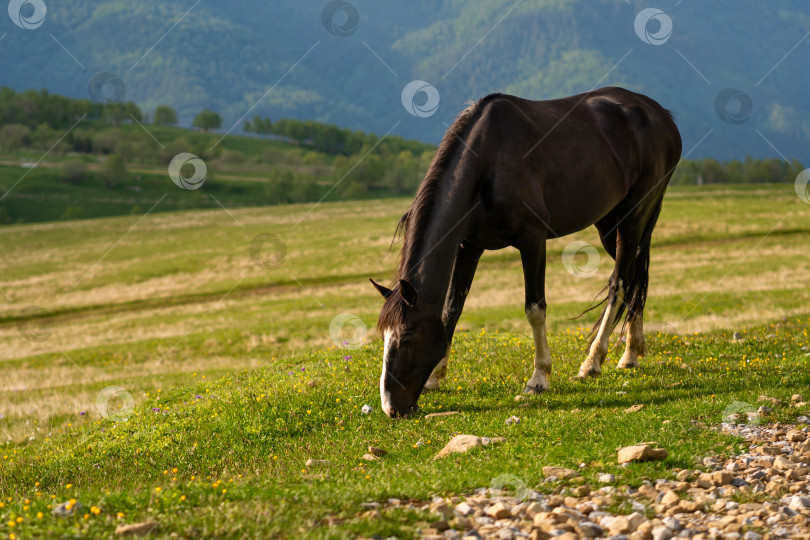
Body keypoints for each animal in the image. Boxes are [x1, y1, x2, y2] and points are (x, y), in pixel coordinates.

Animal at [370, 87, 680, 418]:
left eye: (406, 338)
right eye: (385, 336)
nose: (391, 407)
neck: (490, 162)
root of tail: (661, 115)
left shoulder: (532, 241)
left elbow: (535, 308)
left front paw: (539, 377)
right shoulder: (470, 247)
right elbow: (452, 309)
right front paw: (436, 376)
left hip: (633, 218)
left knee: (618, 283)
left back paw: (593, 361)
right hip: (610, 223)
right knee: (635, 277)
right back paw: (631, 353)